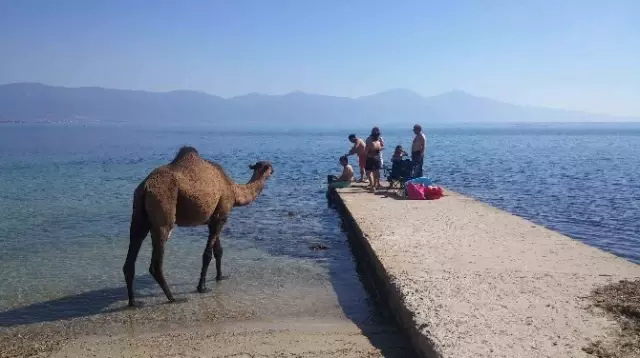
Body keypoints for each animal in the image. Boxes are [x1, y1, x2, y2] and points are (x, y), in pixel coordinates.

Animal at [122, 147, 272, 306]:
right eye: (268, 166)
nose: (273, 170)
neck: (233, 189)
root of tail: (145, 187)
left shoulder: (214, 219)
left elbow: (218, 251)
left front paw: (220, 277)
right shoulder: (221, 216)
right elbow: (207, 254)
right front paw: (202, 287)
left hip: (138, 215)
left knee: (131, 254)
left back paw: (133, 302)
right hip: (163, 212)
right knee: (156, 263)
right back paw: (174, 298)